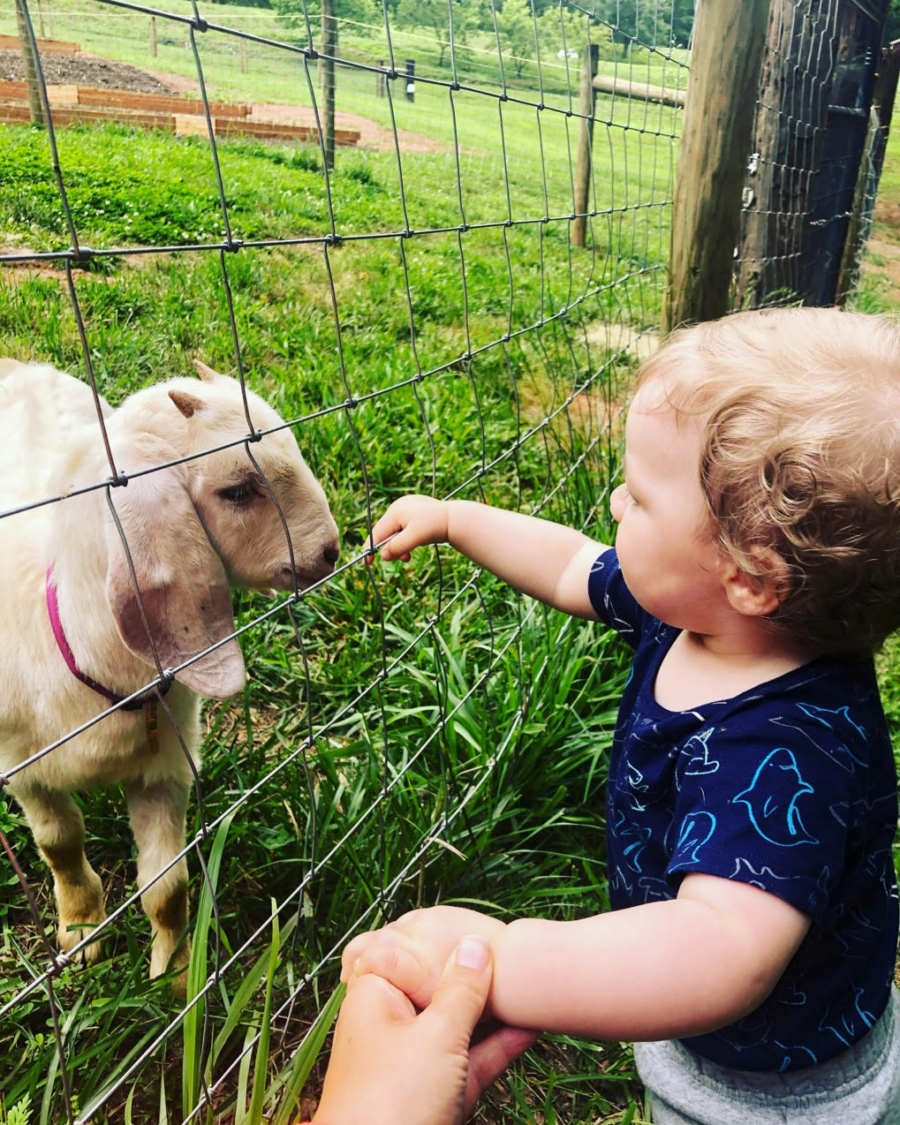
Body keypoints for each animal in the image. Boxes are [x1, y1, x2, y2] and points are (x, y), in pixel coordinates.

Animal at [0, 355, 337, 990]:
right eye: (238, 490)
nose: (330, 551)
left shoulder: (165, 770)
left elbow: (168, 886)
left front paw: (178, 975)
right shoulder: (23, 769)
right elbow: (60, 844)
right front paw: (81, 931)